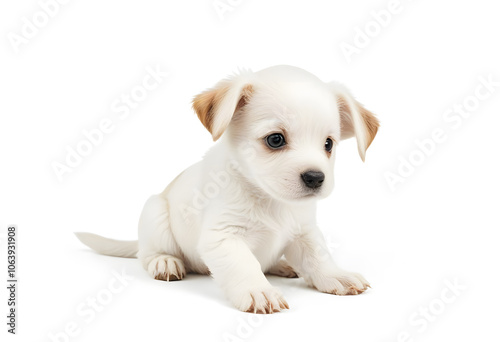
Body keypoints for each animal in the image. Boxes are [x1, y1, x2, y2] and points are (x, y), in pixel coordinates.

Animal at [76, 64, 376, 312]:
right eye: (275, 139)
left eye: (328, 144)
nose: (315, 177)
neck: (270, 201)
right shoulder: (223, 237)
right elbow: (244, 265)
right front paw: (258, 290)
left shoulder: (304, 233)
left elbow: (318, 257)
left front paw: (336, 275)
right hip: (155, 213)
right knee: (147, 253)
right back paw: (165, 261)